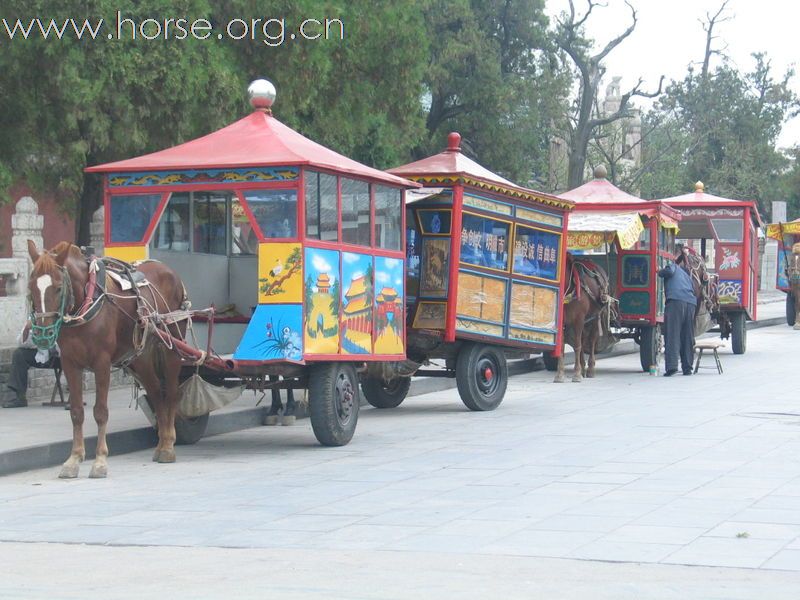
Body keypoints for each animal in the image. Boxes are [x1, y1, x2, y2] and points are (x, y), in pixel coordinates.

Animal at [26, 240, 189, 478]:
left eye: (58, 287)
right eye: (31, 288)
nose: (42, 333)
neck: (83, 304)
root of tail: (169, 271)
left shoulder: (101, 363)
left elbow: (100, 412)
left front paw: (100, 461)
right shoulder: (69, 363)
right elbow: (76, 412)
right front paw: (74, 459)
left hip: (172, 344)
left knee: (171, 393)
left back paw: (168, 445)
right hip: (140, 356)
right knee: (156, 392)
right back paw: (161, 445)